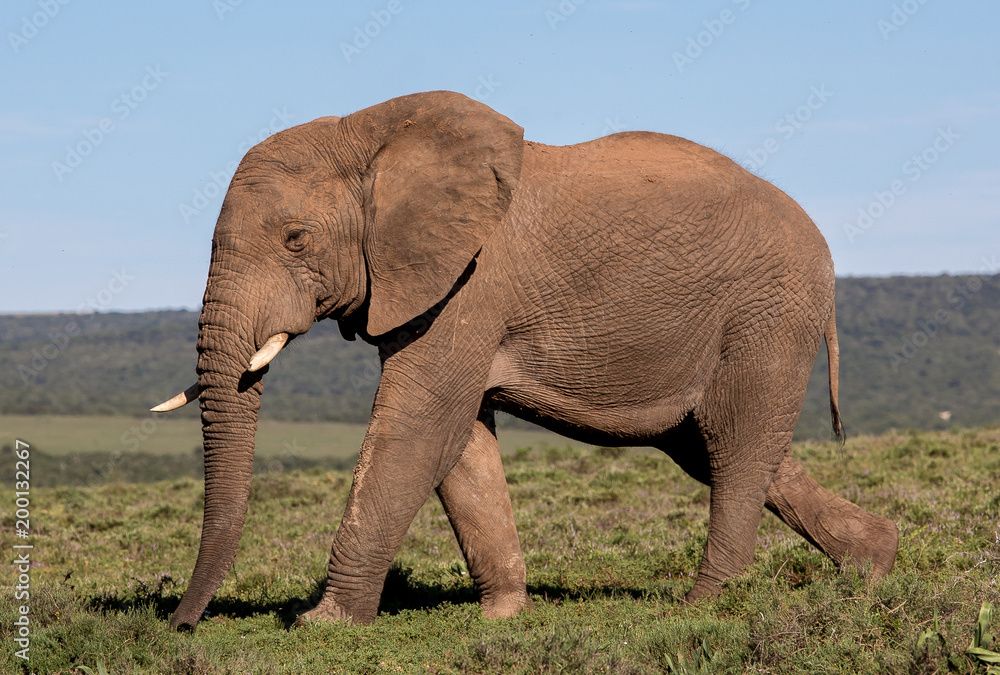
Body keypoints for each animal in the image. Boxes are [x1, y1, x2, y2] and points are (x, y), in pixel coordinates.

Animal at [152, 90, 898, 630]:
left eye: (296, 239)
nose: (180, 624)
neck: (367, 130)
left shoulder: (470, 284)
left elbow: (419, 425)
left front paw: (322, 625)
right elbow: (459, 443)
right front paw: (504, 617)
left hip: (767, 317)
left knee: (736, 447)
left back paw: (702, 606)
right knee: (720, 447)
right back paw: (873, 565)